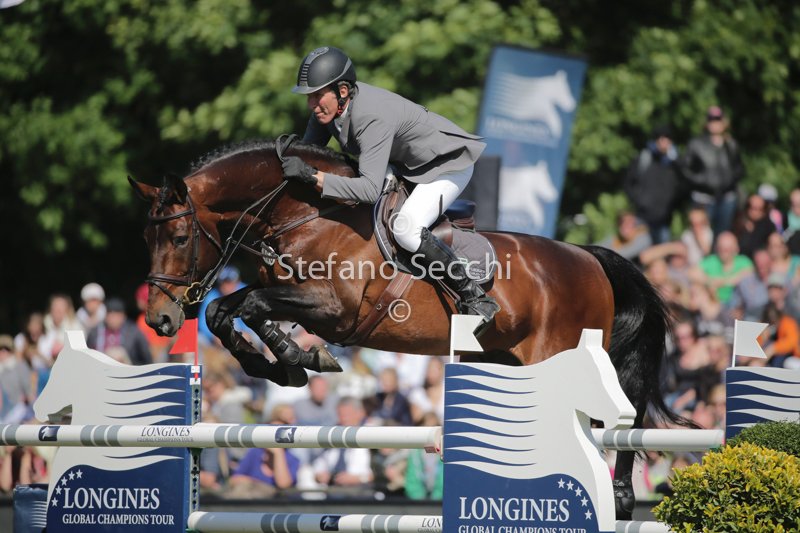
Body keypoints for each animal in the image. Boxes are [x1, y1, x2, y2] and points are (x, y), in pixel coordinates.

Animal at [128, 138, 681, 518]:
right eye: (147, 239)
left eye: (180, 237)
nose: (160, 320)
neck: (306, 214)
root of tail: (588, 256)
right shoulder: (292, 296)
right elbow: (231, 311)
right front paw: (292, 362)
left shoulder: (332, 309)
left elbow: (245, 304)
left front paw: (297, 359)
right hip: (510, 362)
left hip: (561, 358)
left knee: (619, 416)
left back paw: (620, 496)